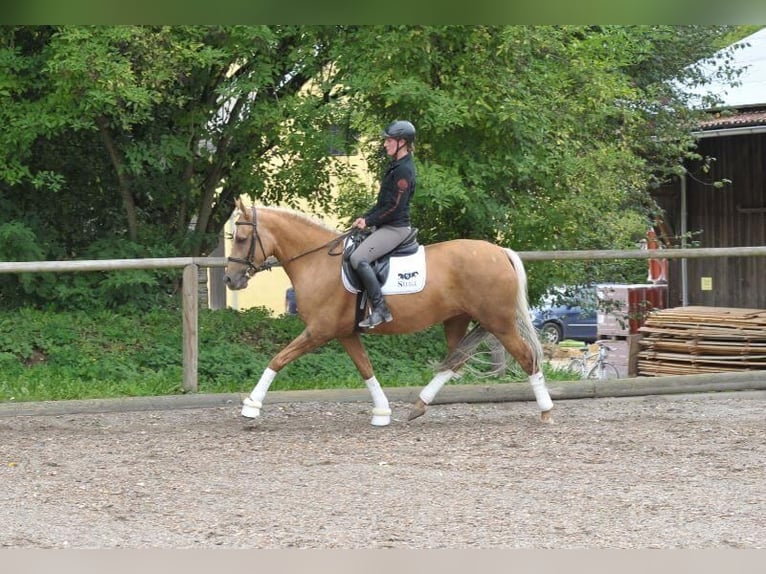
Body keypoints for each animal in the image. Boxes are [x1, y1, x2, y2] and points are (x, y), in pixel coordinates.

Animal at [225, 200, 556, 426]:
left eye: (241, 239)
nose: (231, 280)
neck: (318, 261)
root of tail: (500, 251)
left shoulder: (319, 331)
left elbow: (278, 359)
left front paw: (251, 406)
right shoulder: (345, 334)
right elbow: (366, 369)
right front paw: (382, 411)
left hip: (499, 321)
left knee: (527, 357)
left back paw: (546, 411)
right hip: (458, 319)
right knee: (456, 361)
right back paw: (419, 406)